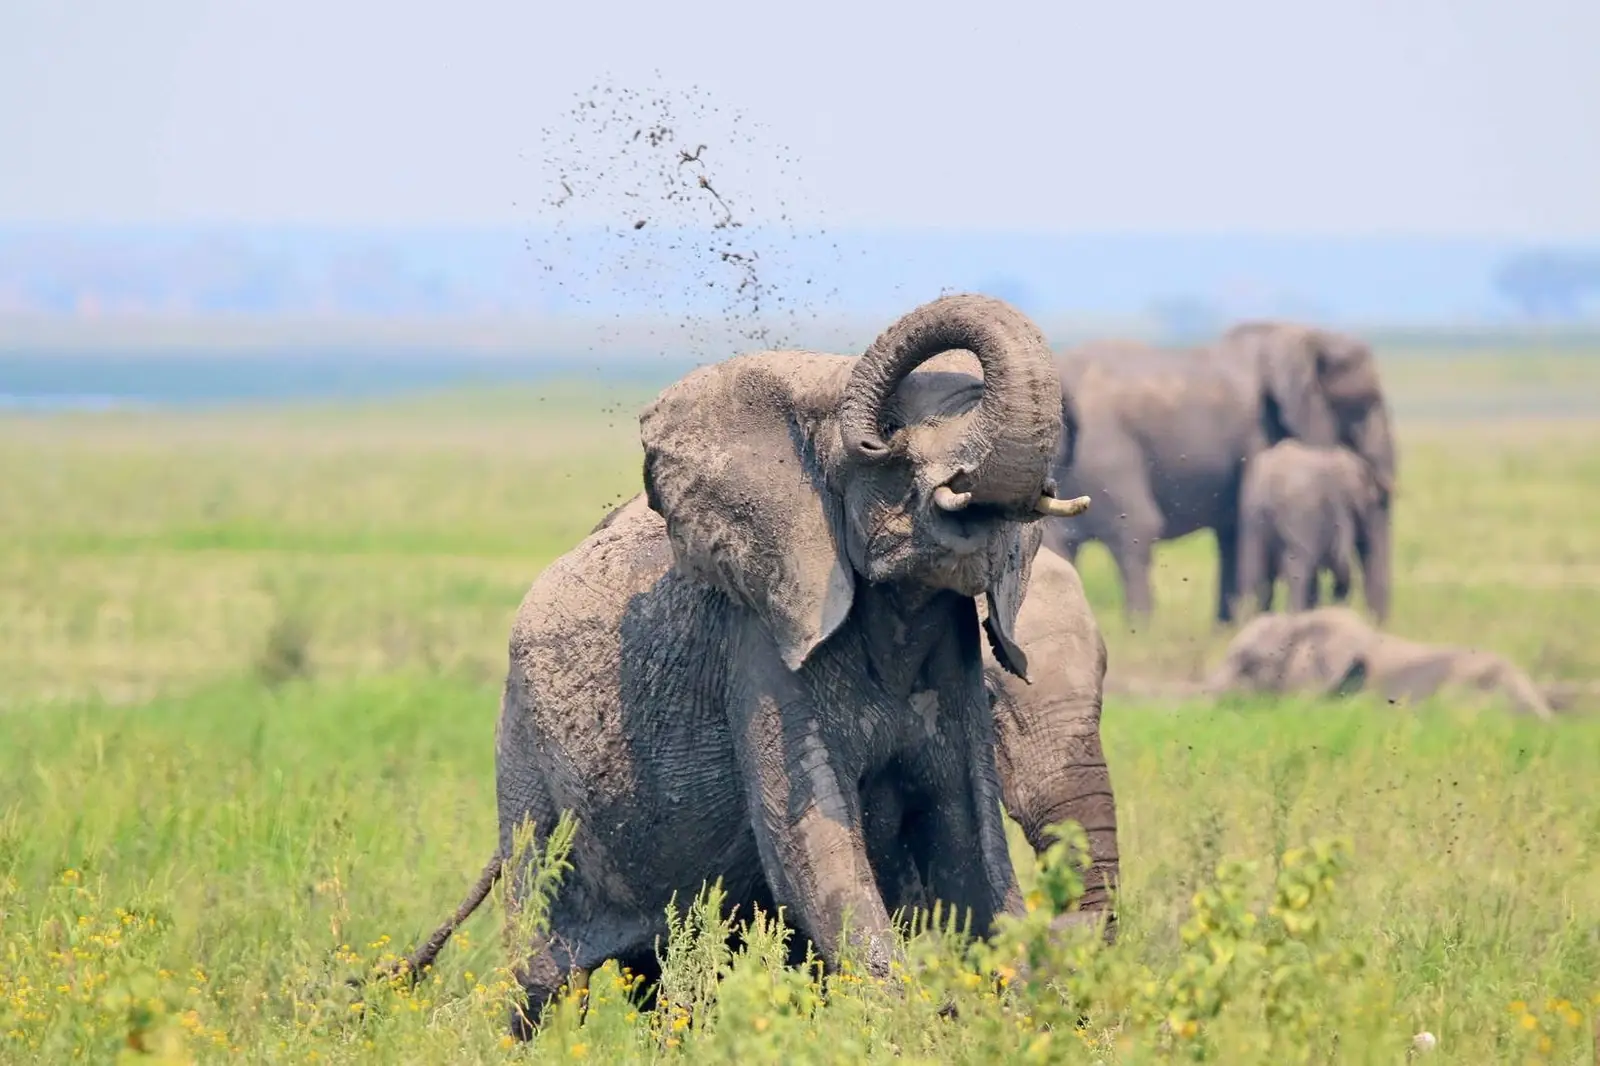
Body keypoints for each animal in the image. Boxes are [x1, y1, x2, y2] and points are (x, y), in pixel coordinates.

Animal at [385, 294, 1102, 1037]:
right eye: (890, 433)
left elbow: (969, 844)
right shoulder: (762, 644)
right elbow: (812, 846)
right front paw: (918, 1023)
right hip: (524, 749)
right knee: (541, 975)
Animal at [1235, 439, 1388, 620]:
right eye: (1373, 503)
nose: (1376, 622)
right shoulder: (1338, 508)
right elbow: (1339, 560)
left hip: (1252, 517)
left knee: (1258, 574)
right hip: (1297, 513)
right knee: (1297, 571)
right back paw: (1293, 616)